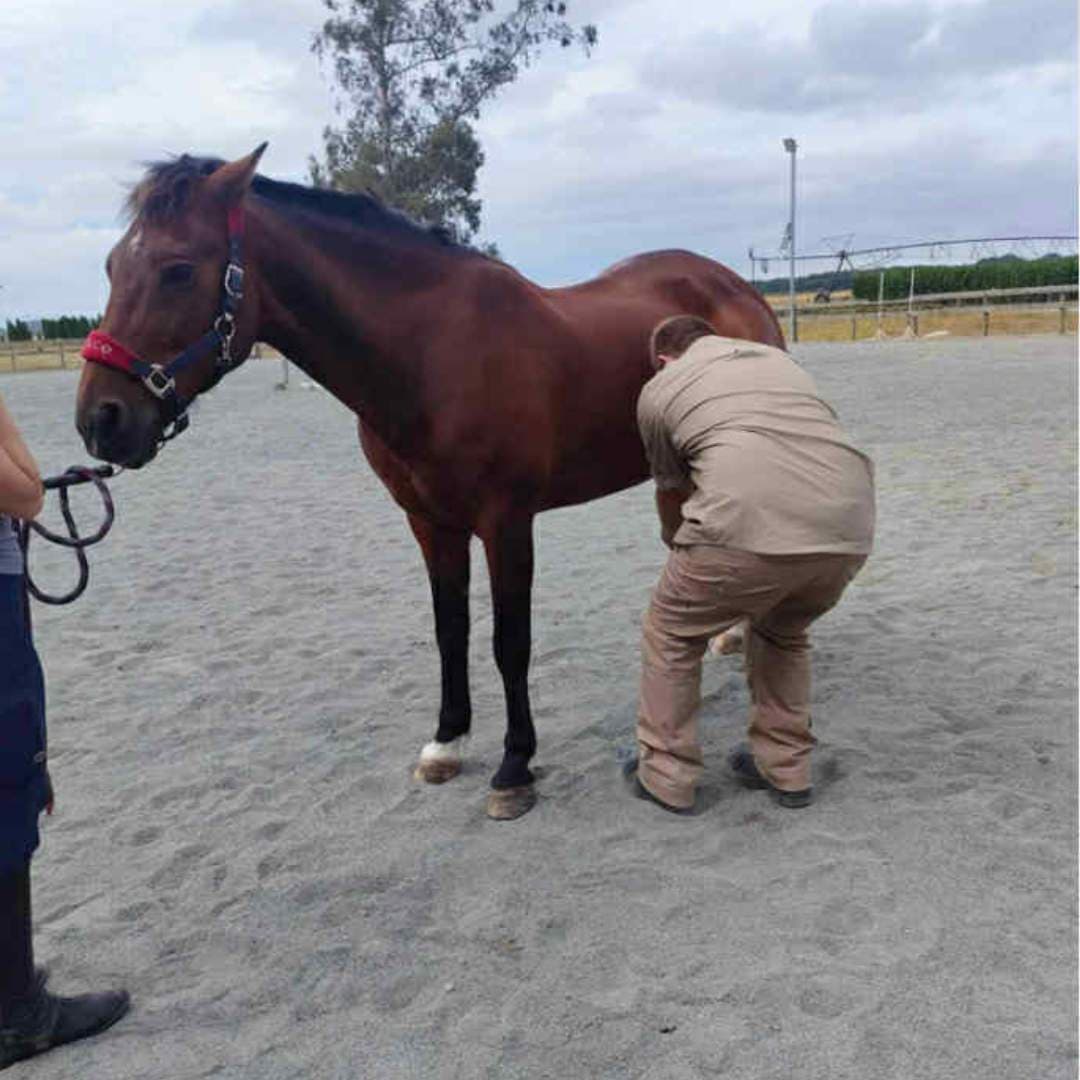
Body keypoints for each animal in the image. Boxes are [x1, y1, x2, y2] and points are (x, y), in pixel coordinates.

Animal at [75, 144, 785, 820]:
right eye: (110, 266)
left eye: (177, 269)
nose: (100, 420)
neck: (428, 353)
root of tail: (734, 287)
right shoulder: (430, 522)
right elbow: (451, 632)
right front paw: (447, 743)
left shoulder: (506, 522)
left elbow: (509, 642)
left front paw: (514, 768)